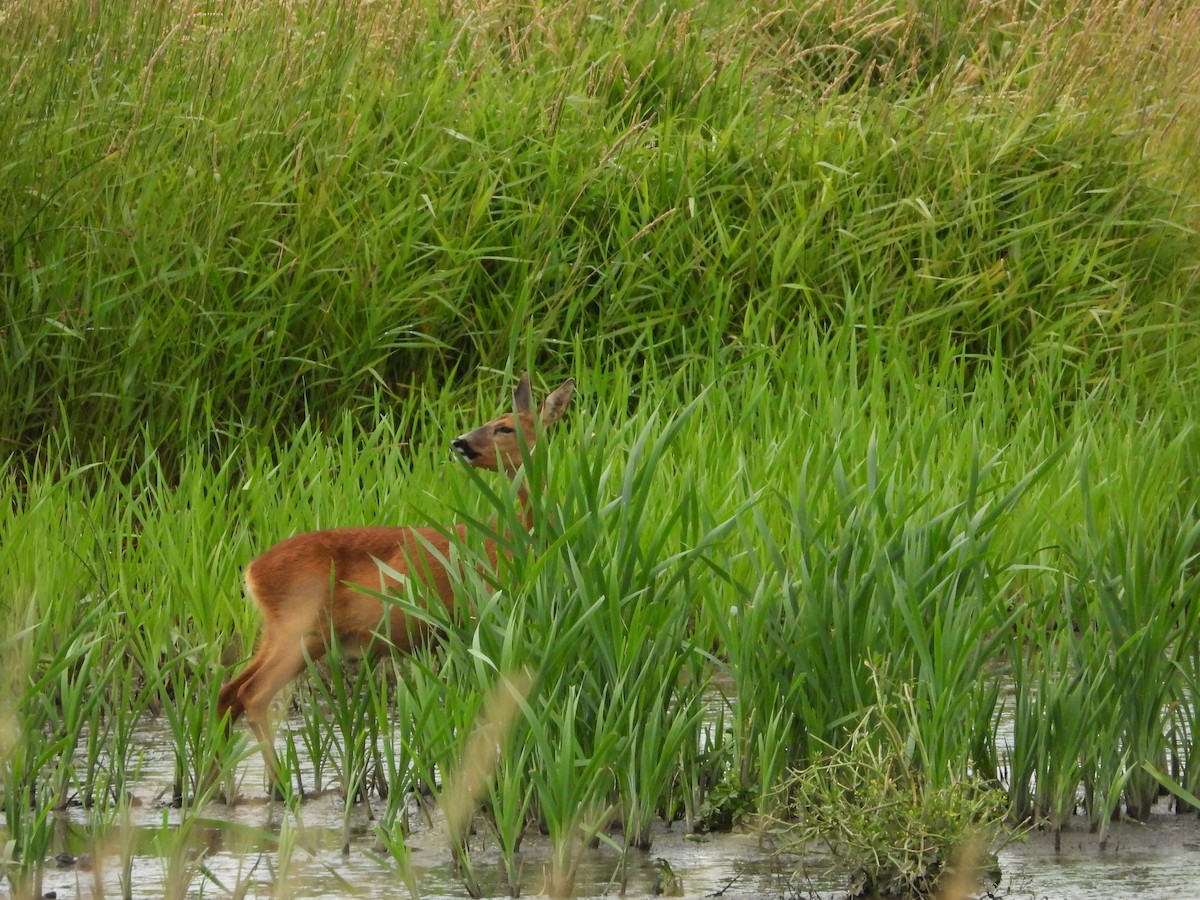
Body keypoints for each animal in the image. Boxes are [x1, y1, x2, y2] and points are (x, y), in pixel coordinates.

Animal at [216, 373, 575, 795]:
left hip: (279, 631)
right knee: (252, 693)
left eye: (504, 427)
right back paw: (285, 788)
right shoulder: (479, 616)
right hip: (301, 627)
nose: (460, 441)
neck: (514, 538)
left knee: (229, 690)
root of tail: (252, 570)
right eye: (493, 421)